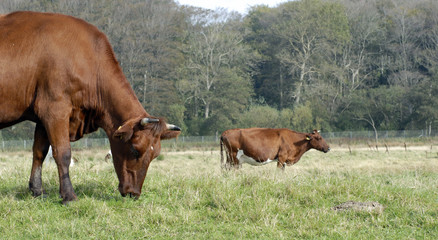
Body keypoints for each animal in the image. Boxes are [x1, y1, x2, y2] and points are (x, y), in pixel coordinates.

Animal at [0, 10, 181, 202]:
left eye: (155, 155)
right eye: (134, 149)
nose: (134, 193)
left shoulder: (43, 117)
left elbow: (39, 152)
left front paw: (37, 191)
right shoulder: (55, 109)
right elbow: (62, 153)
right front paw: (69, 196)